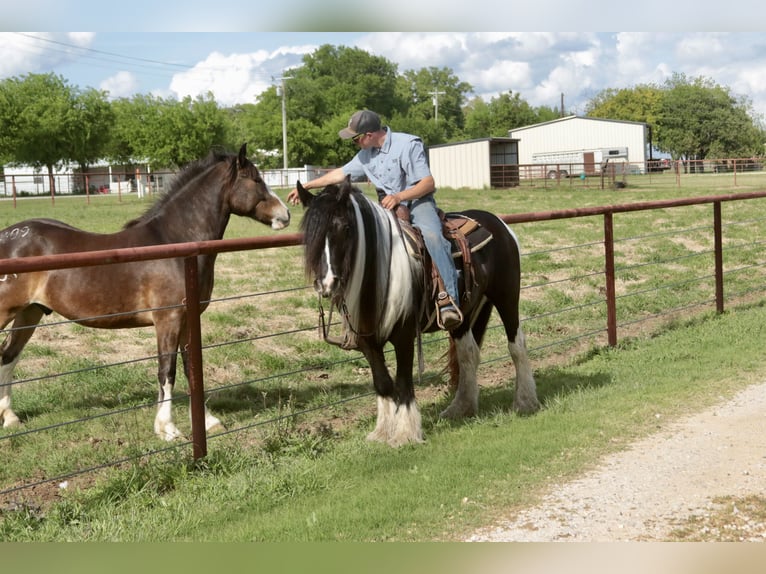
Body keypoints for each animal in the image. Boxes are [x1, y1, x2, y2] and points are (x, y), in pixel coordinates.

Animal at [0, 144, 290, 440]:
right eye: (255, 179)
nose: (285, 214)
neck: (175, 243)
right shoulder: (168, 320)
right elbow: (167, 370)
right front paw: (167, 428)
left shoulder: (188, 320)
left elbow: (191, 368)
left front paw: (208, 421)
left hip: (29, 313)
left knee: (7, 357)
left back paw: (10, 417)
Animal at [296, 178, 539, 447]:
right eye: (311, 234)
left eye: (346, 228)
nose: (327, 284)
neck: (377, 275)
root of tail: (499, 224)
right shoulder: (368, 342)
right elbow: (383, 383)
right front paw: (382, 432)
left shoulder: (404, 336)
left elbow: (403, 382)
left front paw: (405, 433)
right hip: (463, 314)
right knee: (468, 354)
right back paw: (460, 408)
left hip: (507, 297)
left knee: (517, 345)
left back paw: (525, 402)